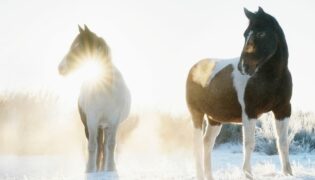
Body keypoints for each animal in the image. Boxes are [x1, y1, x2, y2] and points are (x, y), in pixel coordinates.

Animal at [188, 7, 294, 180]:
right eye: (245, 35)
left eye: (261, 34)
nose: (243, 66)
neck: (271, 78)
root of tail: (194, 68)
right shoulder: (250, 112)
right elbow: (249, 143)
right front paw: (248, 174)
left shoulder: (283, 110)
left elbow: (283, 142)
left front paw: (288, 173)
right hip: (197, 114)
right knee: (197, 143)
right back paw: (199, 175)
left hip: (214, 119)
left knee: (207, 143)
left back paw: (209, 176)